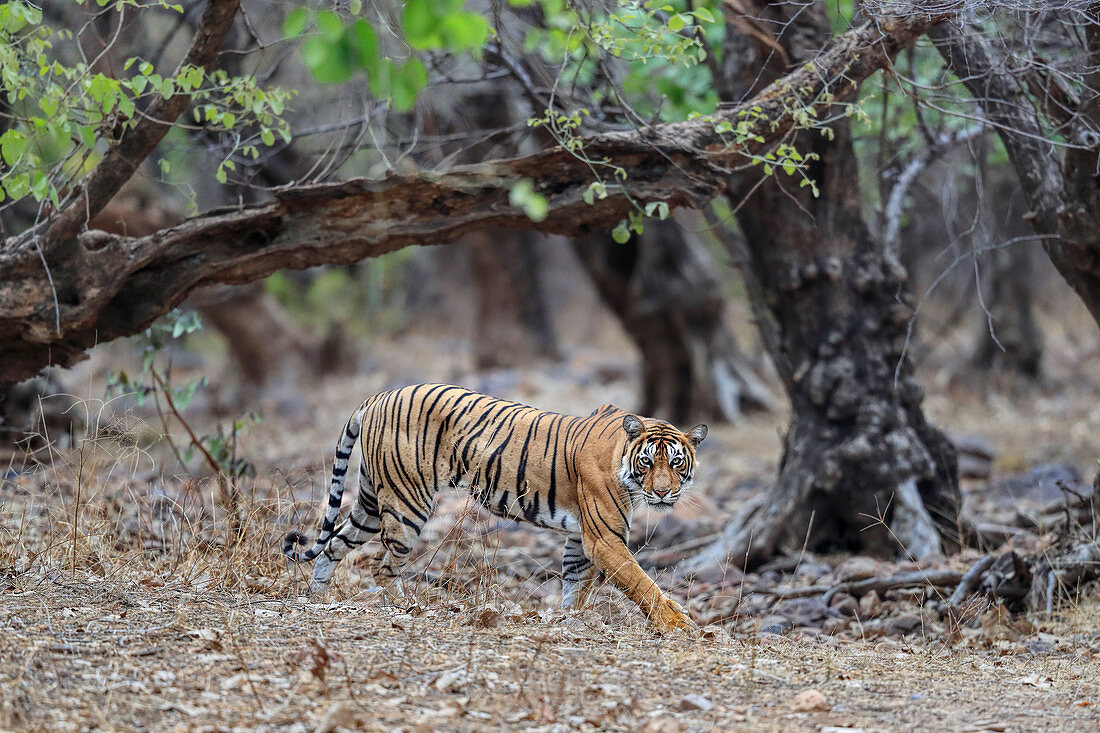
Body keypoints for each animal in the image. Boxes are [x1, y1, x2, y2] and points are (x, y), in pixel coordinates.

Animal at [283, 383, 708, 629]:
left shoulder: (581, 537)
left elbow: (577, 584)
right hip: (407, 504)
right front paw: (676, 623)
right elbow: (642, 583)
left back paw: (317, 599)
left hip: (372, 501)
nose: (664, 493)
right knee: (383, 565)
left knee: (333, 545)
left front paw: (571, 620)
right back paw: (407, 609)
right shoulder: (604, 538)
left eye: (676, 463)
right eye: (647, 462)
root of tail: (375, 397)